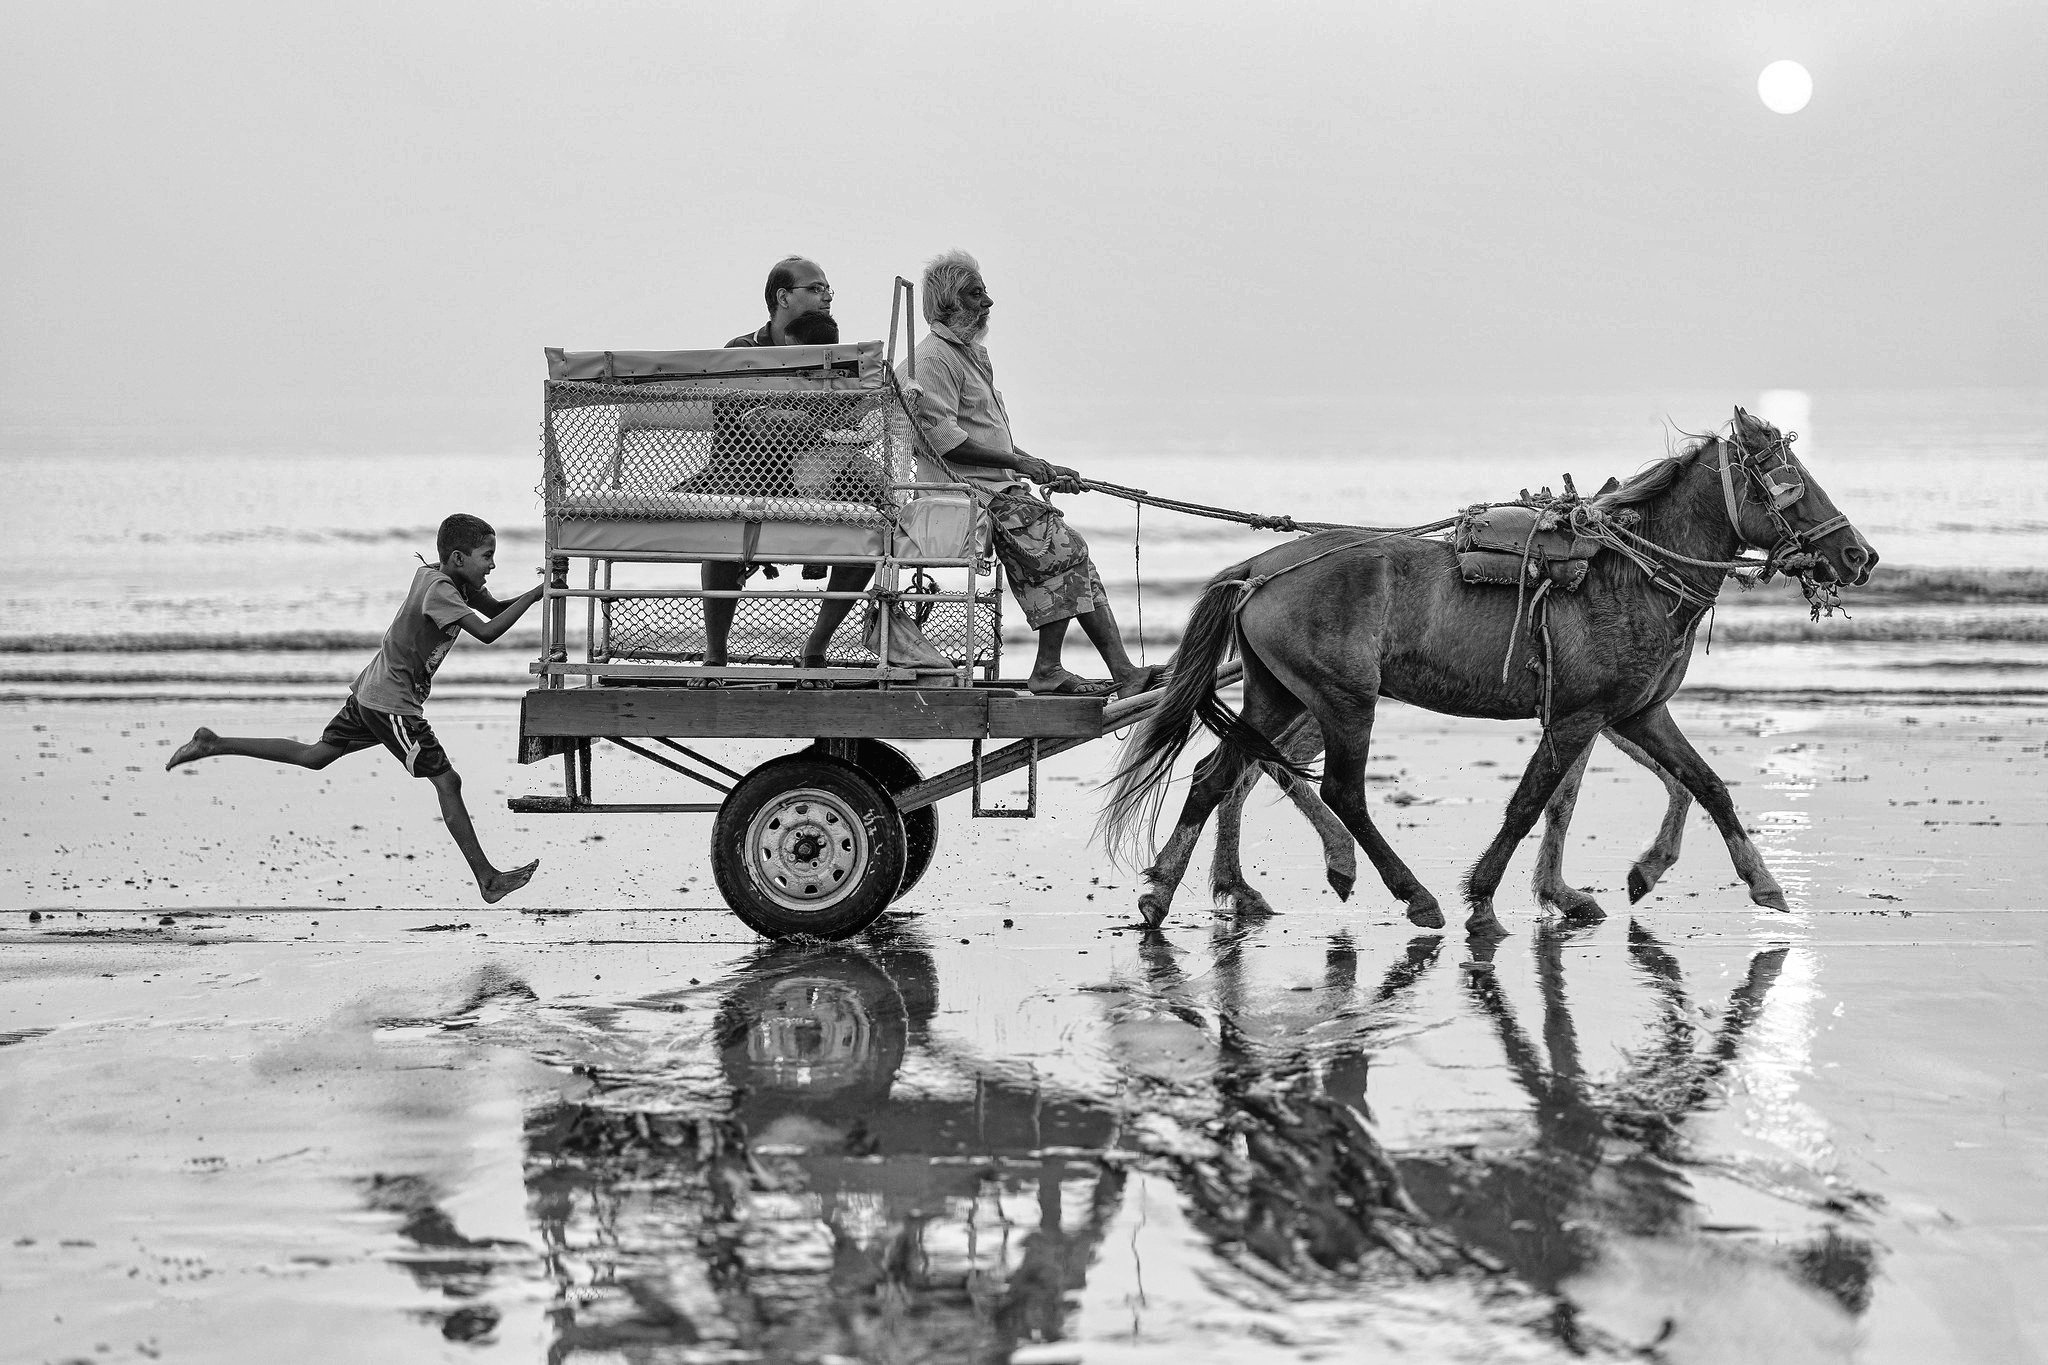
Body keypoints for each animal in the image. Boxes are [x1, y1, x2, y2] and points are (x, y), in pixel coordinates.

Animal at [1105, 409, 1875, 941]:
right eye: (1792, 485)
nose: (1859, 556)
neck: (1628, 574)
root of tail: (1257, 570)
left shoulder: (1635, 714)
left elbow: (1705, 785)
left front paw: (1759, 881)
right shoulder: (1577, 718)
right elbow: (1531, 804)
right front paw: (1483, 898)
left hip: (1277, 696)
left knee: (1215, 777)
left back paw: (1164, 891)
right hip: (1341, 702)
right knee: (1339, 792)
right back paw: (1409, 893)